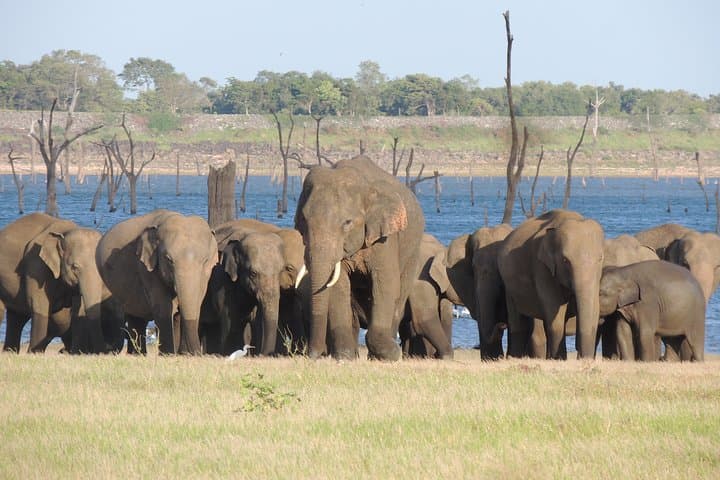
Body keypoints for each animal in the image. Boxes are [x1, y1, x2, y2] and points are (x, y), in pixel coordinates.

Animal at [0, 213, 118, 354]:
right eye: (74, 267)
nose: (103, 351)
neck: (64, 232)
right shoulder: (36, 266)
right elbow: (40, 306)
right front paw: (34, 353)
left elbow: (79, 310)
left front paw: (75, 354)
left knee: (16, 318)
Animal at [96, 209, 217, 355]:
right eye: (168, 259)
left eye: (205, 260)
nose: (197, 353)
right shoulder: (146, 268)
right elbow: (163, 306)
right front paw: (168, 355)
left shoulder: (206, 275)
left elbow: (196, 302)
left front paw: (182, 355)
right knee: (136, 317)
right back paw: (139, 354)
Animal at [294, 155, 425, 361]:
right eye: (303, 220)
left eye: (347, 222)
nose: (313, 354)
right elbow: (338, 286)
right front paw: (344, 356)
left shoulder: (384, 238)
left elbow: (385, 283)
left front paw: (392, 354)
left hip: (412, 254)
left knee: (399, 298)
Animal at [498, 209, 605, 359]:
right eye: (565, 260)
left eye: (600, 259)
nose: (584, 357)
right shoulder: (542, 267)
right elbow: (555, 317)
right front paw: (559, 360)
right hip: (509, 286)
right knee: (519, 323)